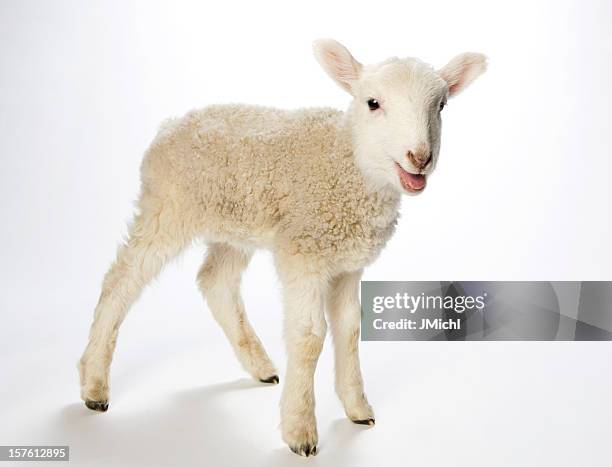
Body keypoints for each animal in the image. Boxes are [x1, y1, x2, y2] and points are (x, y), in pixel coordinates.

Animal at [79, 39, 486, 458]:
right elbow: (308, 337)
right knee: (121, 280)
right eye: (373, 103)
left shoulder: (347, 262)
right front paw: (300, 430)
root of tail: (171, 125)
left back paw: (260, 367)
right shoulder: (303, 251)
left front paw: (357, 408)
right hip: (167, 206)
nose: (419, 158)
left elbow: (349, 330)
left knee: (215, 281)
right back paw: (94, 385)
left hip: (234, 224)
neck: (347, 164)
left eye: (441, 106)